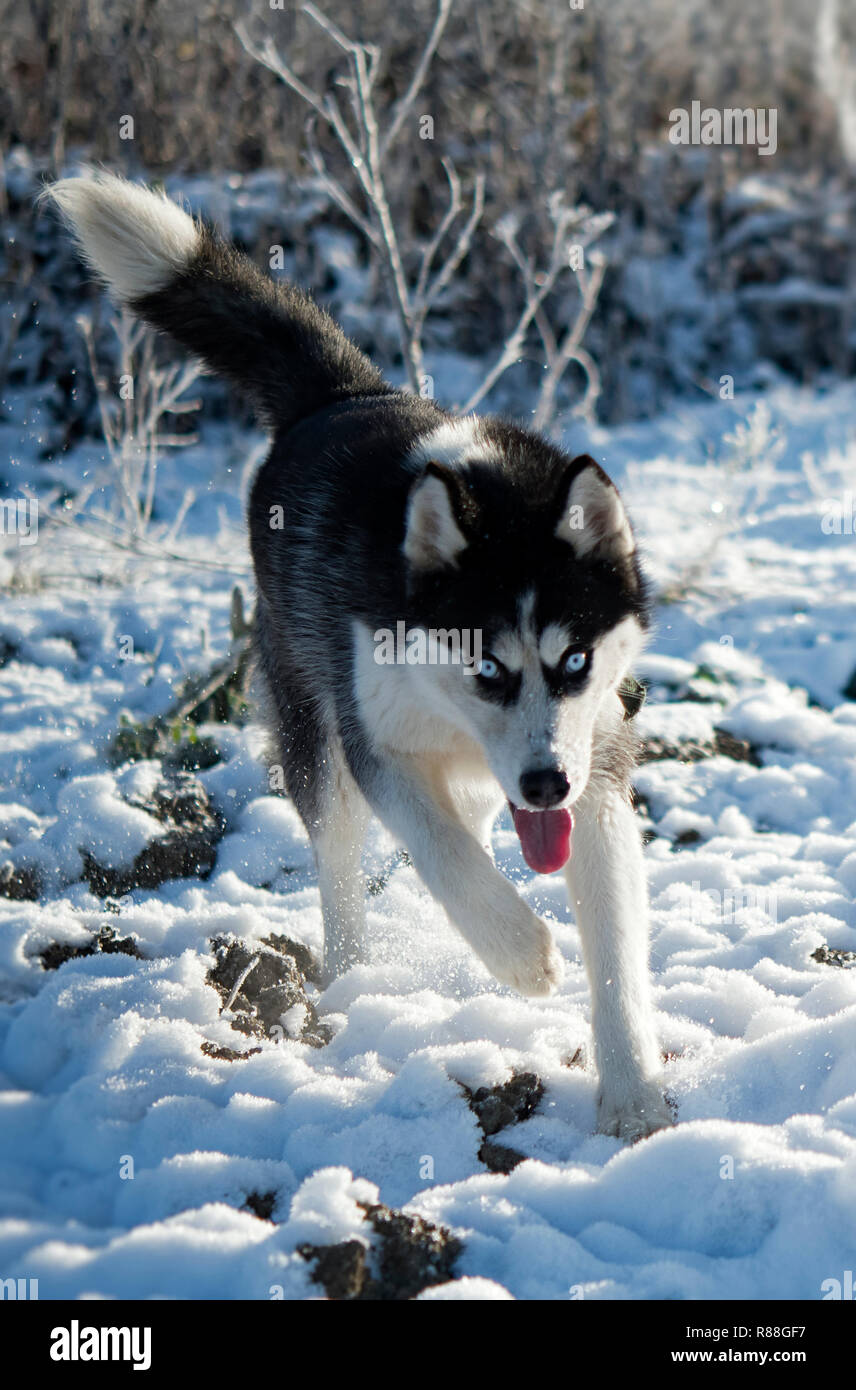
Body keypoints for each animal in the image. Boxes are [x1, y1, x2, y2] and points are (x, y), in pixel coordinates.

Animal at [48, 170, 675, 1139]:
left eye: (574, 662)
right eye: (487, 667)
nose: (543, 785)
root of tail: (344, 394)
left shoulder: (597, 758)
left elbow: (612, 939)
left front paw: (633, 1090)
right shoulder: (376, 739)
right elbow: (440, 853)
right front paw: (521, 953)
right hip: (311, 726)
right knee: (344, 864)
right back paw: (351, 978)